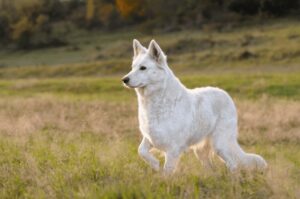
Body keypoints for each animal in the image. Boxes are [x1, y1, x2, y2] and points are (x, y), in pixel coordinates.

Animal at [122, 39, 268, 173]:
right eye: (132, 67)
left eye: (143, 68)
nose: (124, 79)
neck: (158, 100)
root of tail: (225, 94)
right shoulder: (150, 138)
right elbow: (141, 151)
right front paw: (155, 164)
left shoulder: (173, 149)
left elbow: (167, 171)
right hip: (201, 152)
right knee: (211, 168)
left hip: (220, 145)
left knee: (233, 165)